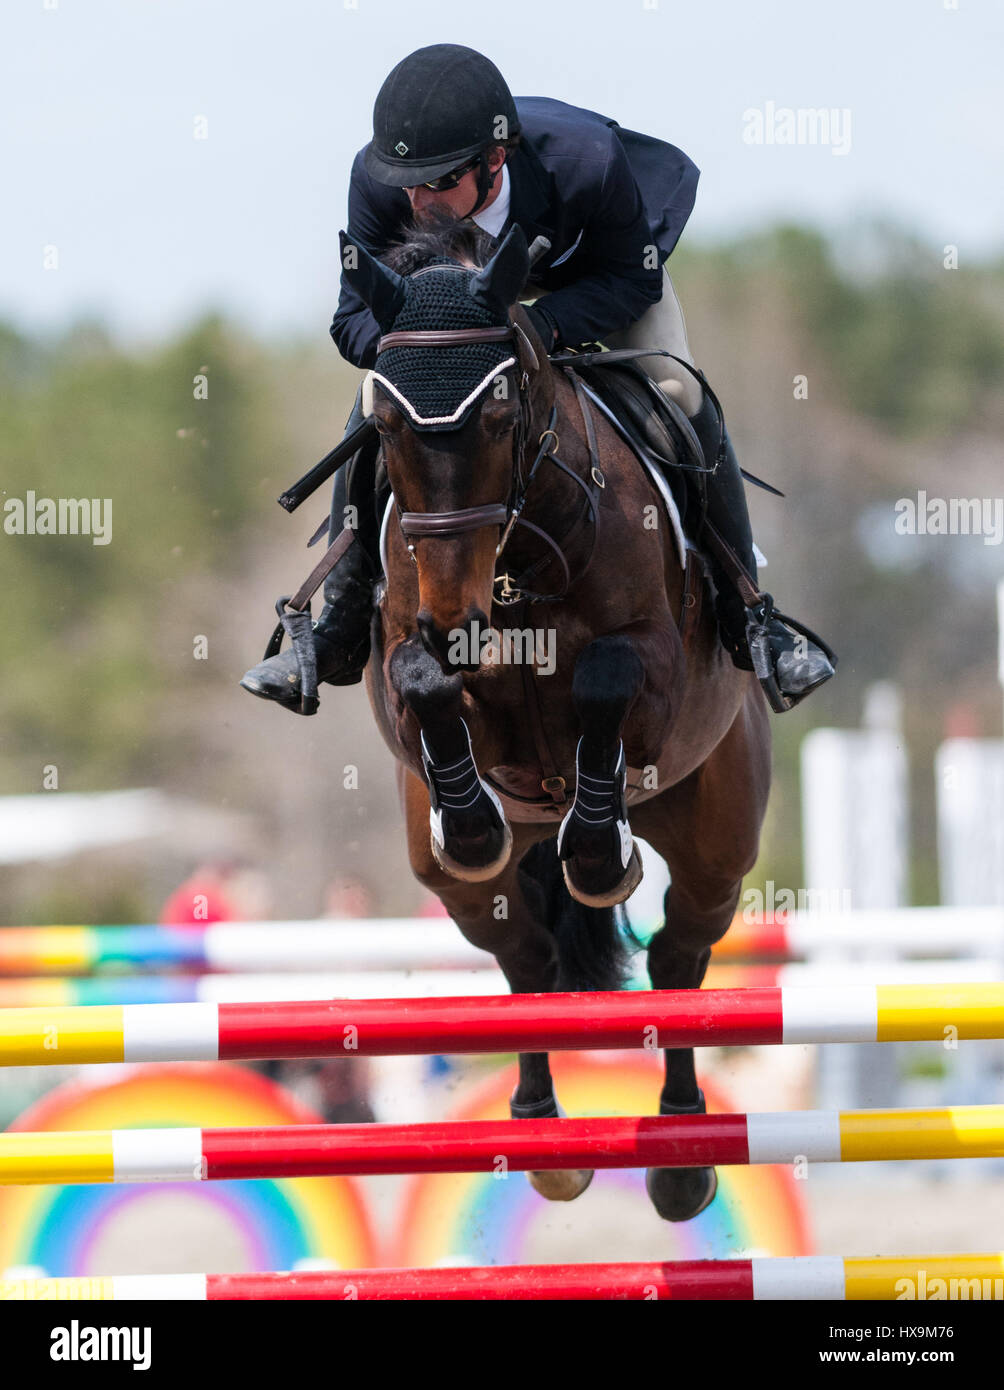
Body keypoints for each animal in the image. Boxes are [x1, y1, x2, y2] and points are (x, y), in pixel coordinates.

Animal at [342, 214, 767, 1217]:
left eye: (500, 416)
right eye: (384, 426)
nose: (455, 613)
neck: (515, 561)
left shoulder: (653, 668)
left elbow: (606, 685)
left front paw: (599, 852)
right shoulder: (408, 665)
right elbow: (422, 683)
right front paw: (472, 818)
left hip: (714, 847)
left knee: (677, 959)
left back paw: (682, 1154)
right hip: (457, 889)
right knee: (527, 959)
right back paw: (543, 1134)